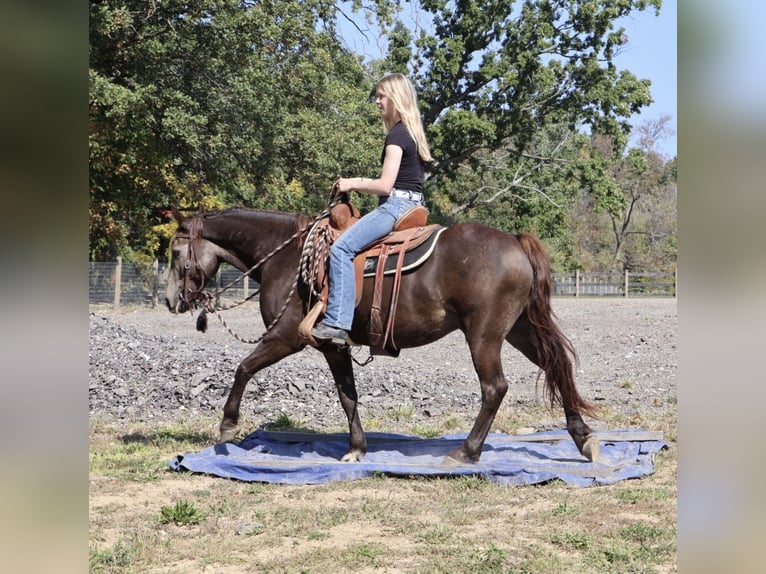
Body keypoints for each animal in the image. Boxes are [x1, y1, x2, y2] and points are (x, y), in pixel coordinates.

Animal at [164, 205, 599, 464]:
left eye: (174, 252)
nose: (170, 300)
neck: (287, 257)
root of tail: (514, 242)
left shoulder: (287, 338)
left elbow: (243, 368)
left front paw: (228, 425)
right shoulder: (332, 346)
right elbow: (348, 396)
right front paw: (356, 449)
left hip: (484, 336)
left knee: (495, 388)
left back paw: (466, 451)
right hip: (519, 330)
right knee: (557, 367)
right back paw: (583, 438)